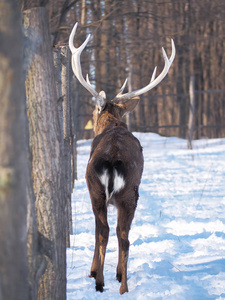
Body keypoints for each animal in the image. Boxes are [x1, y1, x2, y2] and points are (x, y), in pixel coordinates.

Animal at [68, 23, 176, 296]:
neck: (114, 124)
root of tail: (112, 160)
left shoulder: (95, 193)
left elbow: (99, 231)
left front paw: (95, 271)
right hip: (126, 194)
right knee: (120, 233)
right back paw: (119, 284)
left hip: (105, 191)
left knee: (109, 231)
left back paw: (104, 282)